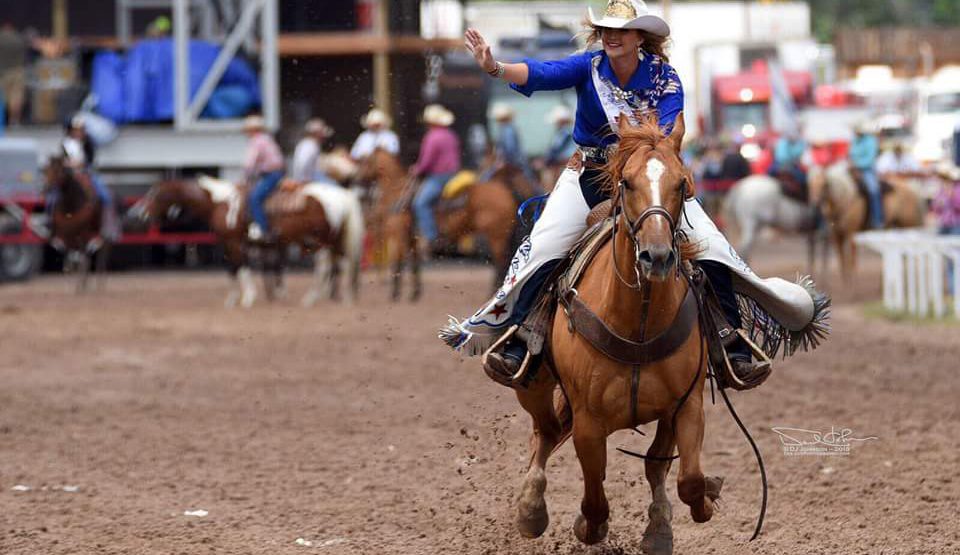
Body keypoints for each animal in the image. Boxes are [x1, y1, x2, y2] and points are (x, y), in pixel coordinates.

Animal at [43, 156, 112, 296]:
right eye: (46, 170)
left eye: (58, 170)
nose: (46, 187)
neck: (71, 205)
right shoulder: (66, 235)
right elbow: (69, 260)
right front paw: (72, 285)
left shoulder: (83, 233)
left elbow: (82, 259)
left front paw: (80, 285)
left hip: (100, 233)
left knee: (100, 254)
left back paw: (98, 285)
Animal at [131, 178, 364, 308]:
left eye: (156, 195)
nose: (140, 215)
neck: (220, 203)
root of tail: (342, 194)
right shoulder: (227, 244)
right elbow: (232, 269)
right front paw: (232, 300)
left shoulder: (234, 242)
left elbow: (241, 268)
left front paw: (247, 298)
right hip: (333, 239)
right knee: (340, 264)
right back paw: (337, 297)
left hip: (322, 240)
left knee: (325, 267)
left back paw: (312, 298)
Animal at [358, 148, 524, 302]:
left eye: (366, 160)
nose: (355, 178)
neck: (397, 193)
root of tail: (506, 192)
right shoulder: (412, 237)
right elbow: (414, 264)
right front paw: (415, 293)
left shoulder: (399, 234)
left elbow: (398, 262)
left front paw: (395, 294)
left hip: (496, 236)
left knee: (500, 263)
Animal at [512, 115, 716, 552]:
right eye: (627, 182)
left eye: (682, 184)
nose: (657, 256)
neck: (638, 322)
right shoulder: (589, 423)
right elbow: (594, 500)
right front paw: (584, 527)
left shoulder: (685, 405)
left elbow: (685, 478)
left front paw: (681, 515)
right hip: (532, 385)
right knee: (544, 431)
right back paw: (531, 509)